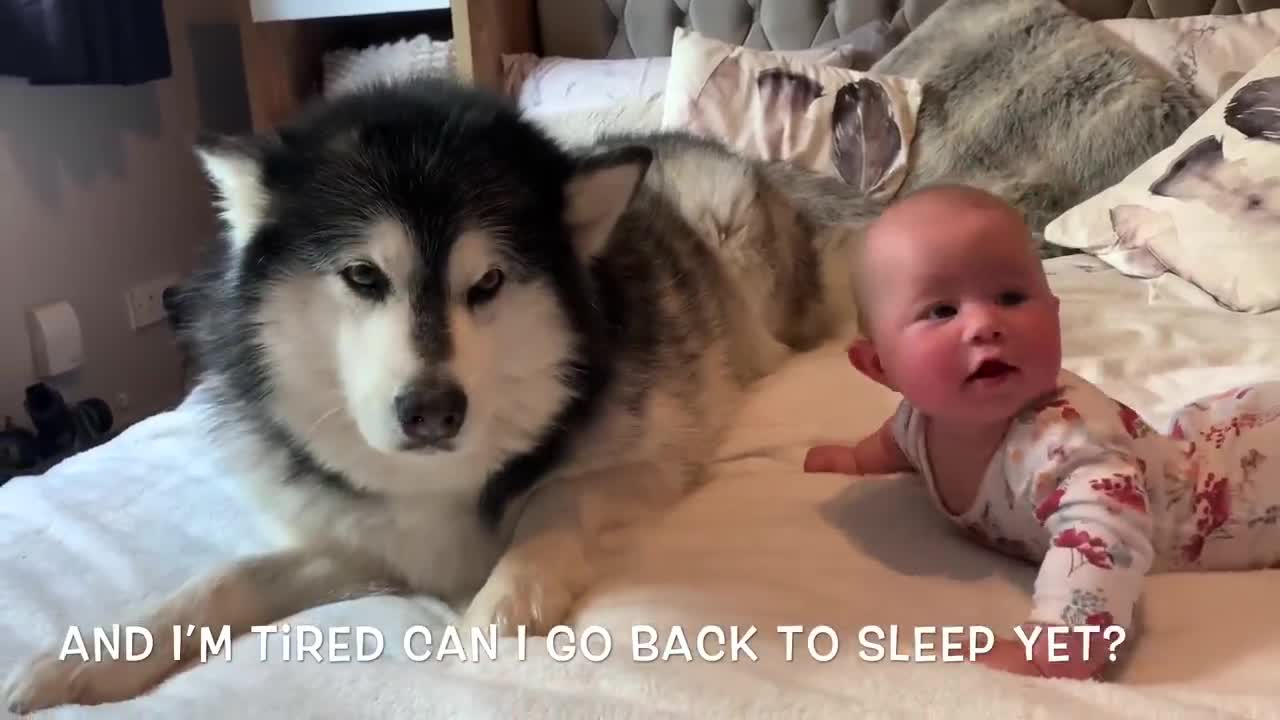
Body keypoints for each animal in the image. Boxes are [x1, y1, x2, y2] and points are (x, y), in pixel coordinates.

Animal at [5, 77, 880, 707]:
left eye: (486, 283)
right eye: (364, 275)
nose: (431, 410)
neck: (440, 484)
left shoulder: (653, 457)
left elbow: (552, 504)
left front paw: (504, 605)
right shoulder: (368, 543)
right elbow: (228, 577)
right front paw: (92, 658)